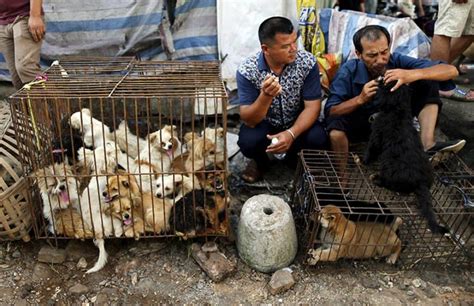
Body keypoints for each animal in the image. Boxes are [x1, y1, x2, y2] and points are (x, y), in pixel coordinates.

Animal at [362, 80, 448, 234]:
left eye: (387, 84)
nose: (380, 79)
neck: (398, 110)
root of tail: (421, 182)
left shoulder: (377, 134)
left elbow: (371, 149)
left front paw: (364, 160)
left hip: (389, 168)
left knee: (389, 184)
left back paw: (376, 179)